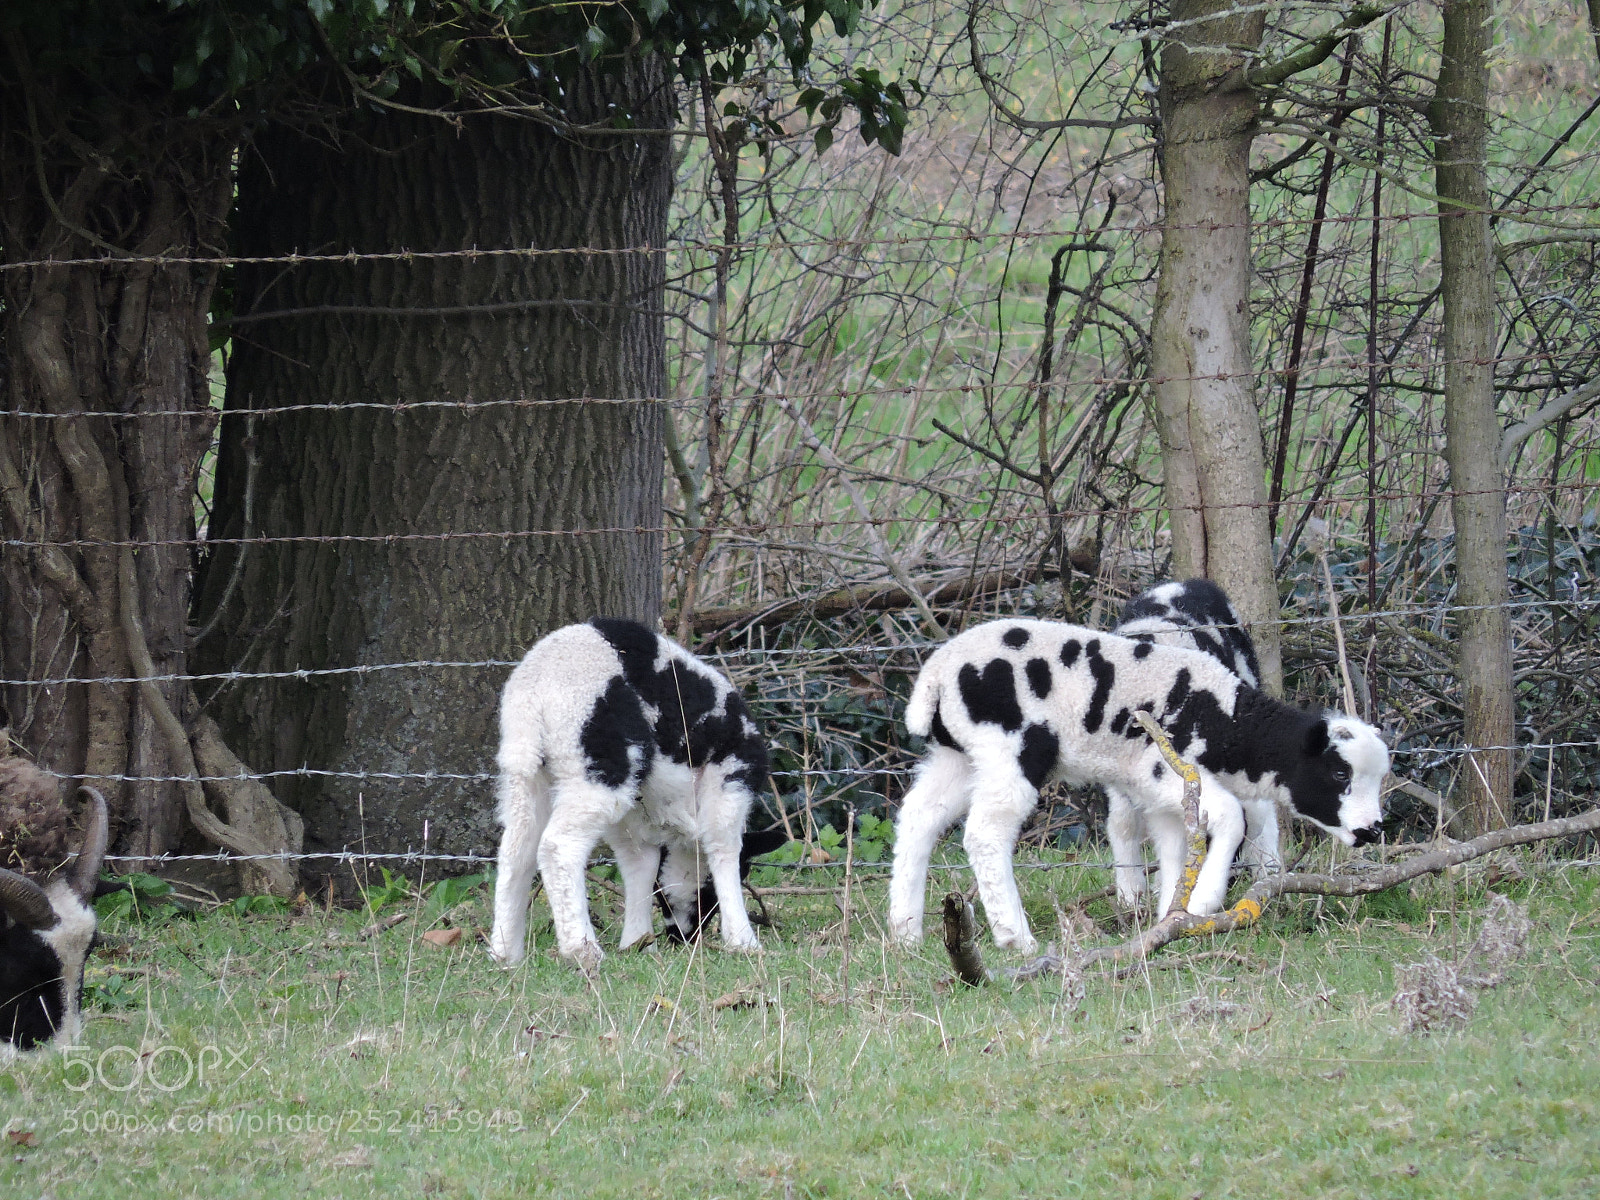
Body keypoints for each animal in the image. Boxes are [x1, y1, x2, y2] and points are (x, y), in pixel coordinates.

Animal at [489, 618, 768, 968]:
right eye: (708, 896)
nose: (684, 938)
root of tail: (532, 690)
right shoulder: (730, 778)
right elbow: (722, 848)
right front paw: (743, 941)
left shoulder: (634, 818)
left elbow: (641, 866)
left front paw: (639, 943)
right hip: (601, 761)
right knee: (557, 847)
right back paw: (582, 950)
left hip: (527, 772)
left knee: (517, 849)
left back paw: (505, 952)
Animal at [887, 618, 1390, 952]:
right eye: (1340, 774)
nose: (1372, 831)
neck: (1228, 725)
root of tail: (936, 678)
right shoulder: (1161, 766)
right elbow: (1230, 816)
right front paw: (1204, 901)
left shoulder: (1160, 793)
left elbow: (1175, 850)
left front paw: (1174, 914)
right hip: (1008, 748)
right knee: (985, 833)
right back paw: (1016, 938)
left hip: (959, 754)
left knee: (918, 819)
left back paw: (906, 931)